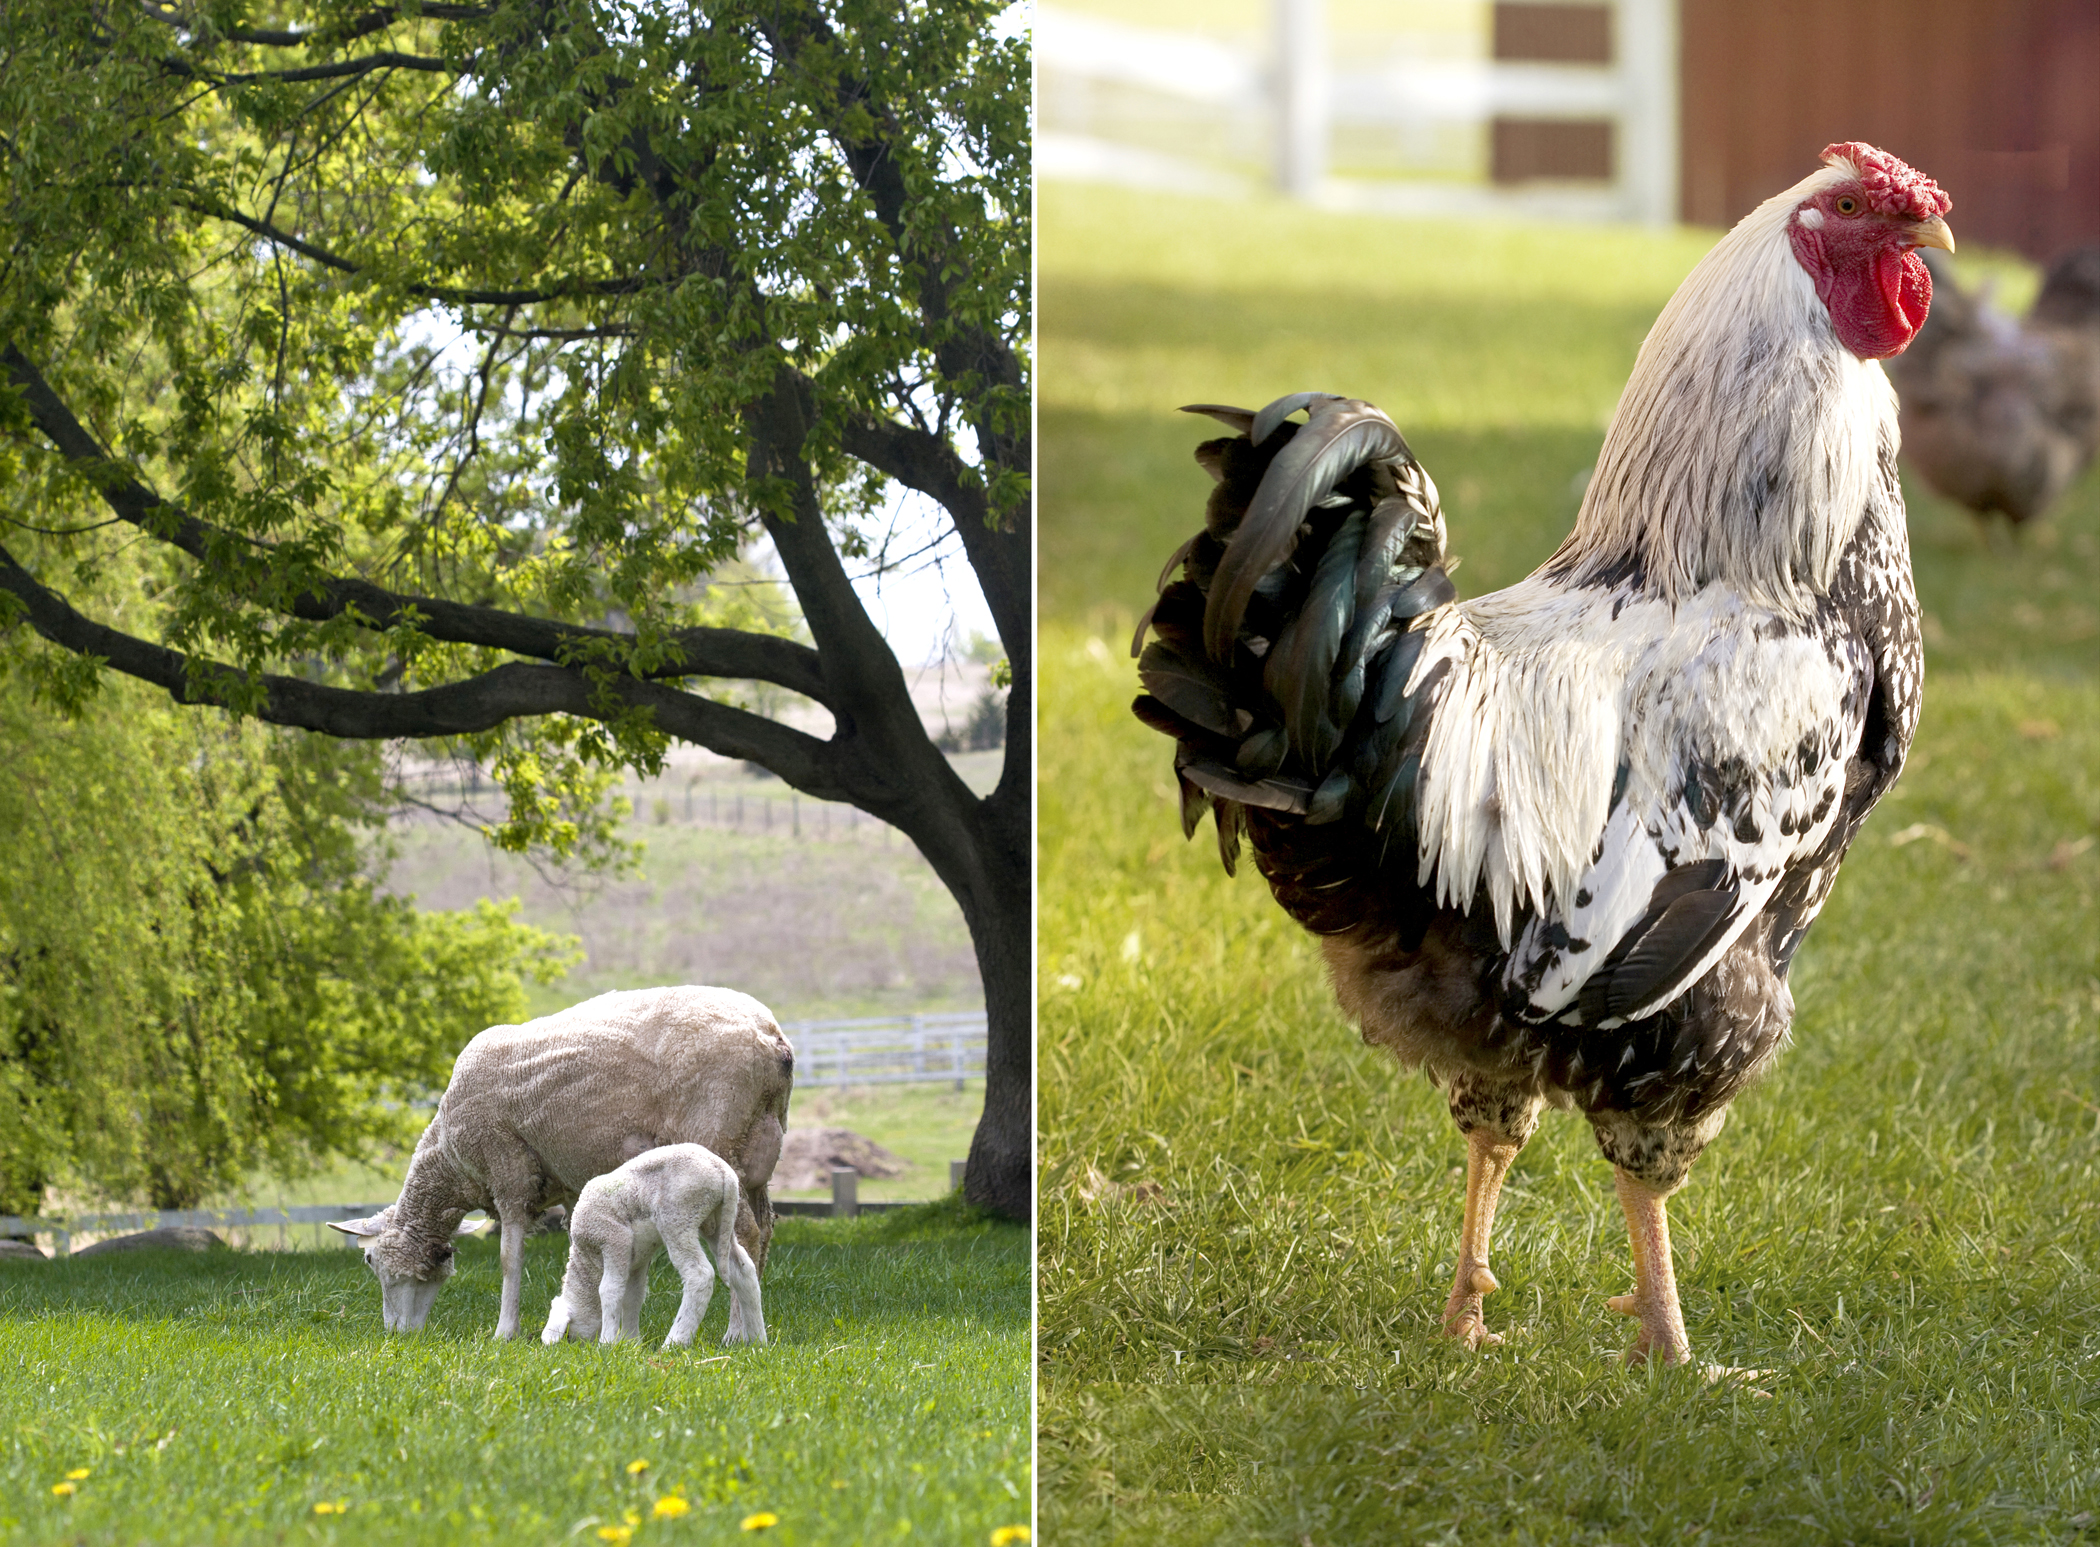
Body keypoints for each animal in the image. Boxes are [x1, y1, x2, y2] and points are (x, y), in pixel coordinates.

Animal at [546, 1141, 768, 1343]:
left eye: (567, 1335)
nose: (579, 1345)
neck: (588, 1260)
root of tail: (723, 1171)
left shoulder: (613, 1238)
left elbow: (610, 1289)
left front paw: (607, 1343)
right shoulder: (638, 1258)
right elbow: (633, 1296)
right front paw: (630, 1343)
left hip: (678, 1216)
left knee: (700, 1274)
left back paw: (674, 1342)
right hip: (717, 1221)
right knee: (743, 1269)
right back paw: (757, 1340)